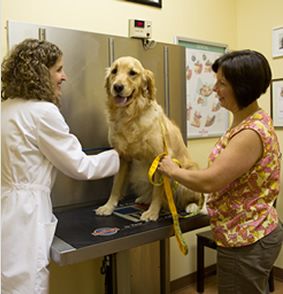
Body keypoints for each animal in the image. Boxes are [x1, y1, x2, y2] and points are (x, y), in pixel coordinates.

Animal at [96, 55, 204, 220]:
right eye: (114, 71)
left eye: (132, 73)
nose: (117, 87)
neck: (130, 117)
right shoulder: (123, 157)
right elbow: (116, 186)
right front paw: (108, 206)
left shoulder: (159, 158)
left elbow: (157, 192)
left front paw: (152, 212)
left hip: (186, 174)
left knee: (195, 198)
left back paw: (191, 206)